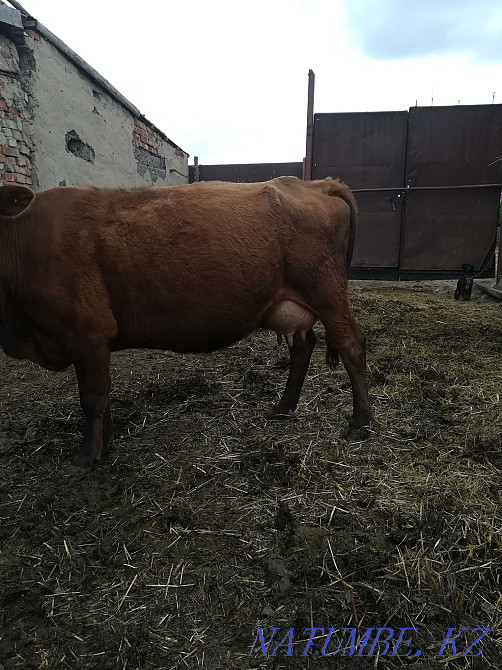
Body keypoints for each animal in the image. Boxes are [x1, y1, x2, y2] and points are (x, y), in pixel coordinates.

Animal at [0, 176, 371, 469]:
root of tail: (313, 183)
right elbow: (102, 396)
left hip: (326, 292)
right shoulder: (93, 343)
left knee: (351, 346)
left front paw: (86, 456)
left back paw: (361, 423)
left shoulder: (87, 333)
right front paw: (106, 443)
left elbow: (91, 397)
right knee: (302, 346)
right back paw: (282, 408)